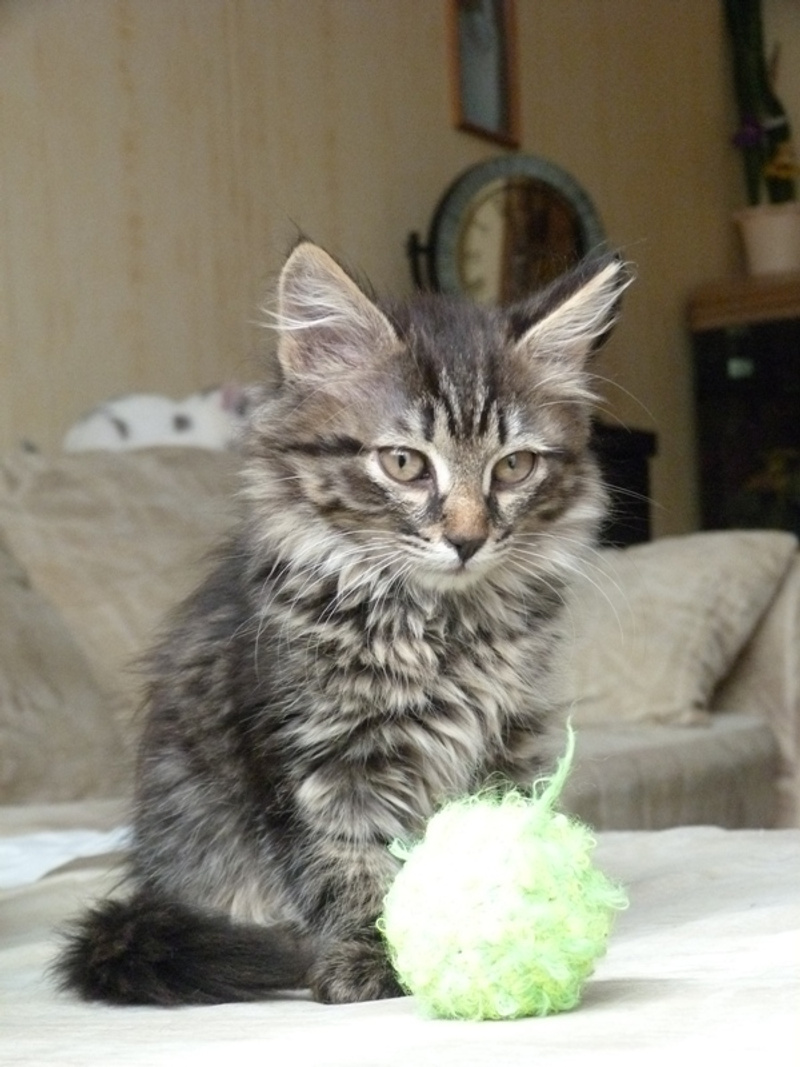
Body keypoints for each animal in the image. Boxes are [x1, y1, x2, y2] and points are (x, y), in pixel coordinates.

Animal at [55, 240, 630, 1007]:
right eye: (404, 463)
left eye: (513, 467)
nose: (469, 539)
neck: (438, 625)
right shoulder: (312, 754)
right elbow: (345, 864)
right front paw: (368, 955)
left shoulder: (506, 738)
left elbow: (499, 829)